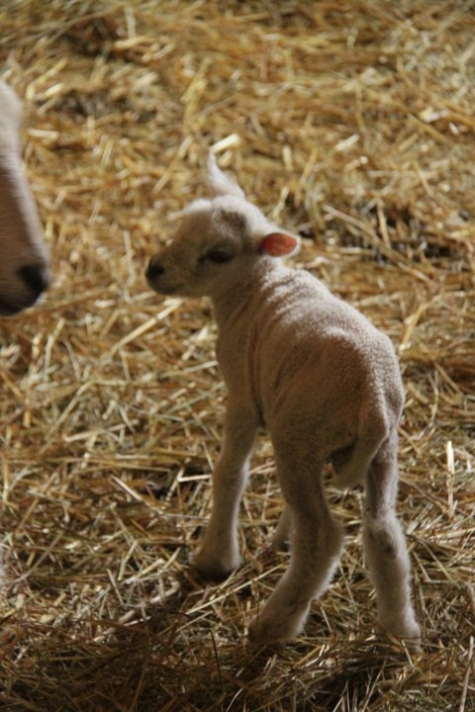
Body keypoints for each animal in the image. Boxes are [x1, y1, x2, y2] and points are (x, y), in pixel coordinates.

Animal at [146, 156, 420, 644]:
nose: (154, 270)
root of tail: (371, 396)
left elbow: (230, 473)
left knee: (324, 537)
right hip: (382, 451)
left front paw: (217, 558)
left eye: (218, 254)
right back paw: (399, 628)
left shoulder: (243, 395)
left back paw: (274, 623)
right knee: (383, 530)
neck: (257, 283)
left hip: (299, 437)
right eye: (181, 229)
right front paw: (277, 539)